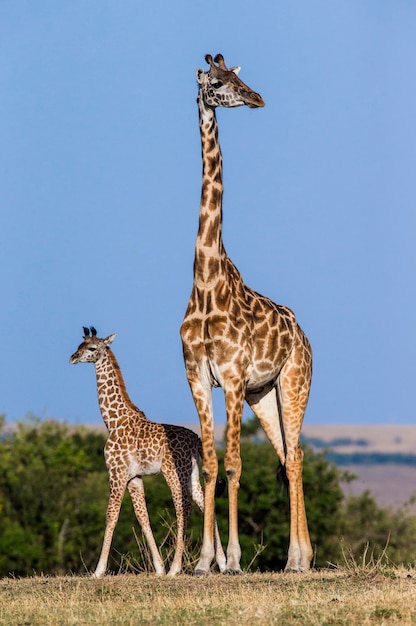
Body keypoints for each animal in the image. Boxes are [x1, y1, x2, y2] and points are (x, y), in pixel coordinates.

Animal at [69, 326, 224, 576]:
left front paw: (98, 570)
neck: (113, 421)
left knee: (183, 508)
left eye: (92, 348)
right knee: (205, 503)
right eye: (79, 345)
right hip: (191, 473)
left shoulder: (117, 472)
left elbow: (111, 516)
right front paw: (158, 567)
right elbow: (143, 517)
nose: (73, 357)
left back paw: (176, 568)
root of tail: (196, 441)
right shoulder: (134, 477)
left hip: (173, 471)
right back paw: (221, 562)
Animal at [180, 54, 312, 576]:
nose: (256, 98)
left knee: (294, 456)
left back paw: (298, 560)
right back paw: (300, 558)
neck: (205, 283)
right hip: (265, 395)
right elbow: (212, 466)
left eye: (238, 77)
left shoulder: (233, 377)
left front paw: (233, 560)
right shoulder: (200, 377)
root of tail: (305, 337)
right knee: (290, 455)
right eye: (217, 83)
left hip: (293, 383)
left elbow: (235, 465)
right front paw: (203, 562)